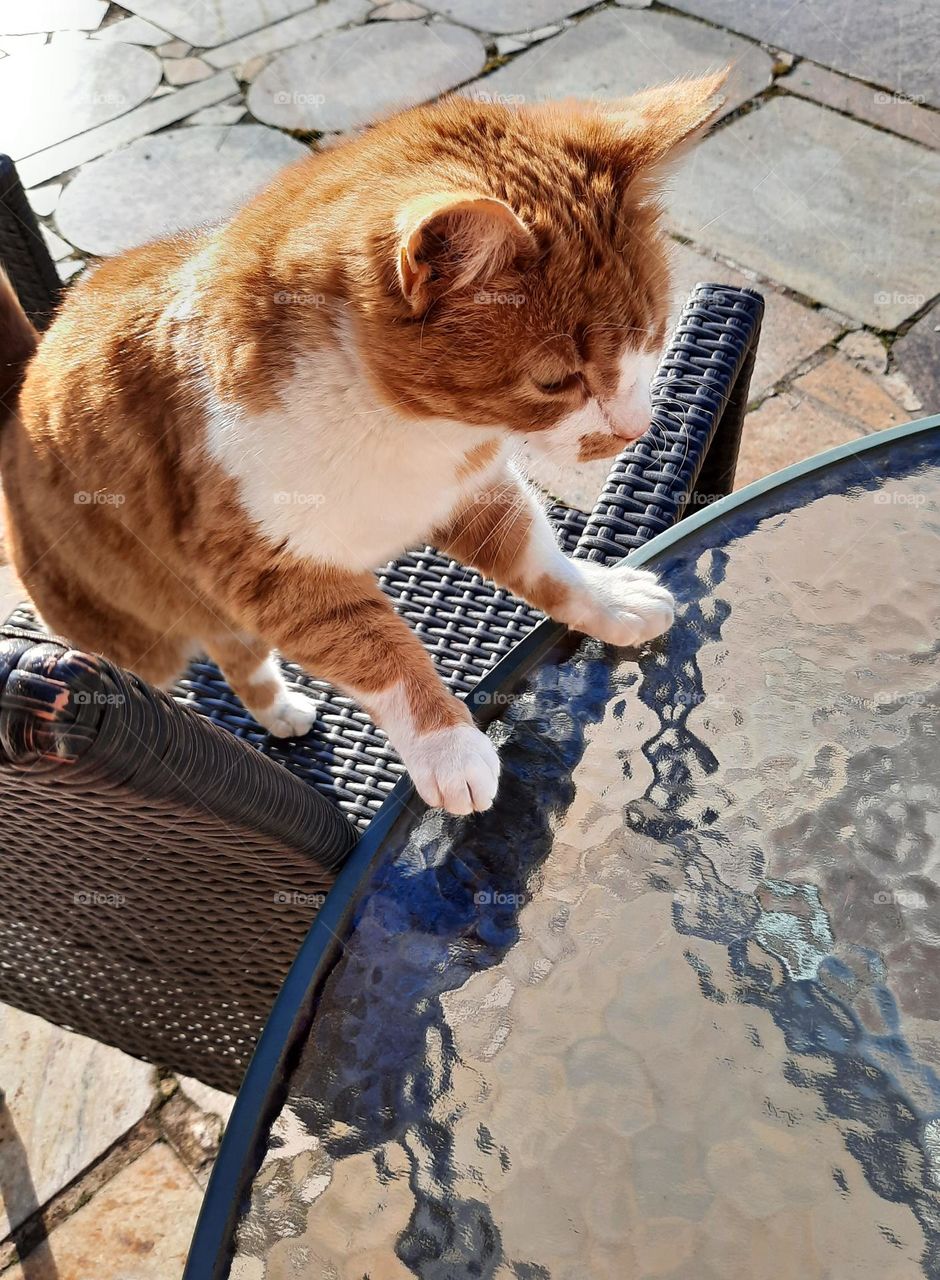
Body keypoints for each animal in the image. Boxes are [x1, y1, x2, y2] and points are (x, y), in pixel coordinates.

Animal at [0, 72, 727, 808]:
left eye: (652, 336)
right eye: (556, 381)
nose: (635, 428)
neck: (409, 429)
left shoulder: (472, 491)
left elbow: (545, 563)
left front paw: (610, 600)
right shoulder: (269, 569)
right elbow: (380, 649)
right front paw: (447, 745)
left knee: (236, 651)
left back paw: (279, 712)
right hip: (139, 628)